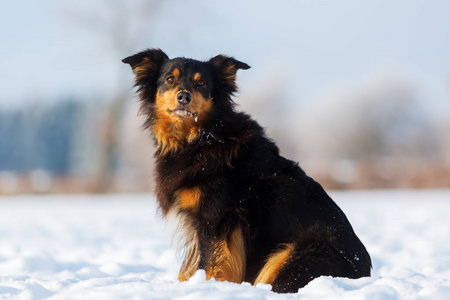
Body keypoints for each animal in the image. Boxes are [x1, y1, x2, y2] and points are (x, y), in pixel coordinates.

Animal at [122, 49, 370, 292]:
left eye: (201, 84)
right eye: (169, 79)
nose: (184, 97)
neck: (201, 139)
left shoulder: (215, 220)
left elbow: (208, 263)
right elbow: (189, 268)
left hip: (289, 255)